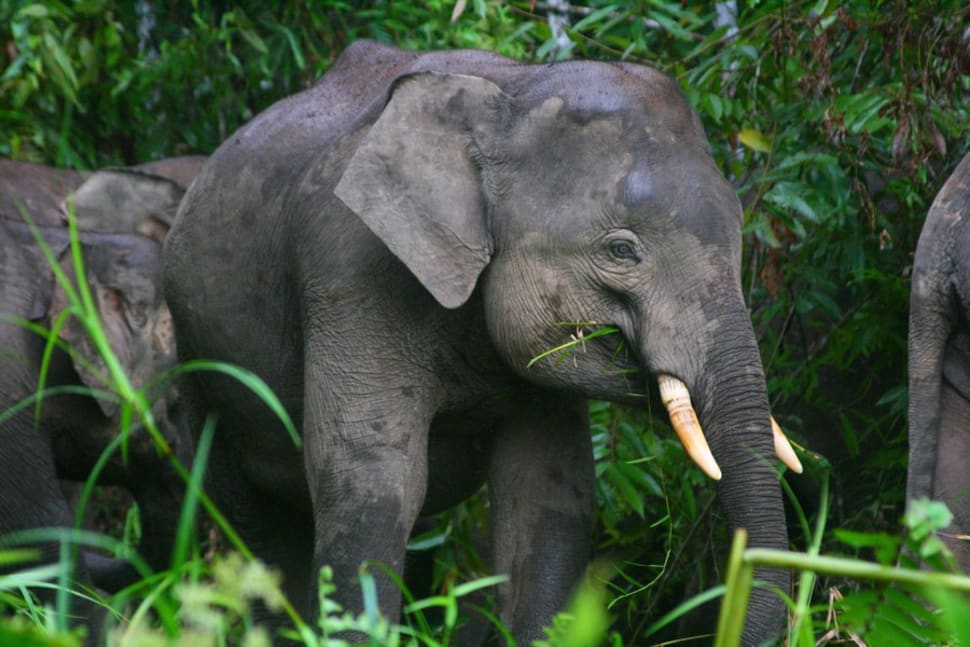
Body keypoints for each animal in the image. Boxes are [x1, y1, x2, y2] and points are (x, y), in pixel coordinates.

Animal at [163, 40, 801, 644]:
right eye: (622, 251)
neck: (514, 92)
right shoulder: (349, 267)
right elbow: (372, 480)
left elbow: (549, 491)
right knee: (254, 526)